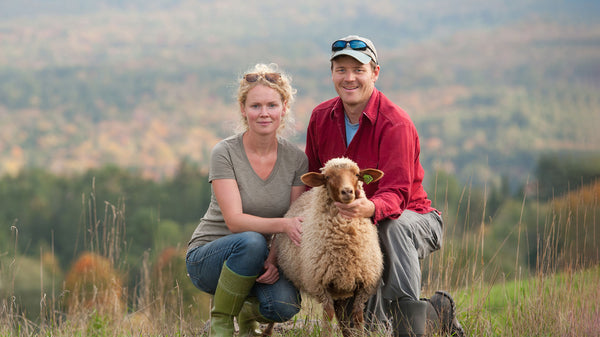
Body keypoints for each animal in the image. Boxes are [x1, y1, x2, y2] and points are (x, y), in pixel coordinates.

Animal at [274, 158, 384, 336]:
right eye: (327, 177)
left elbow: (358, 317)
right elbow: (328, 317)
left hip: (342, 288)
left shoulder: (364, 285)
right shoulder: (321, 285)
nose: (347, 192)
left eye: (357, 174)